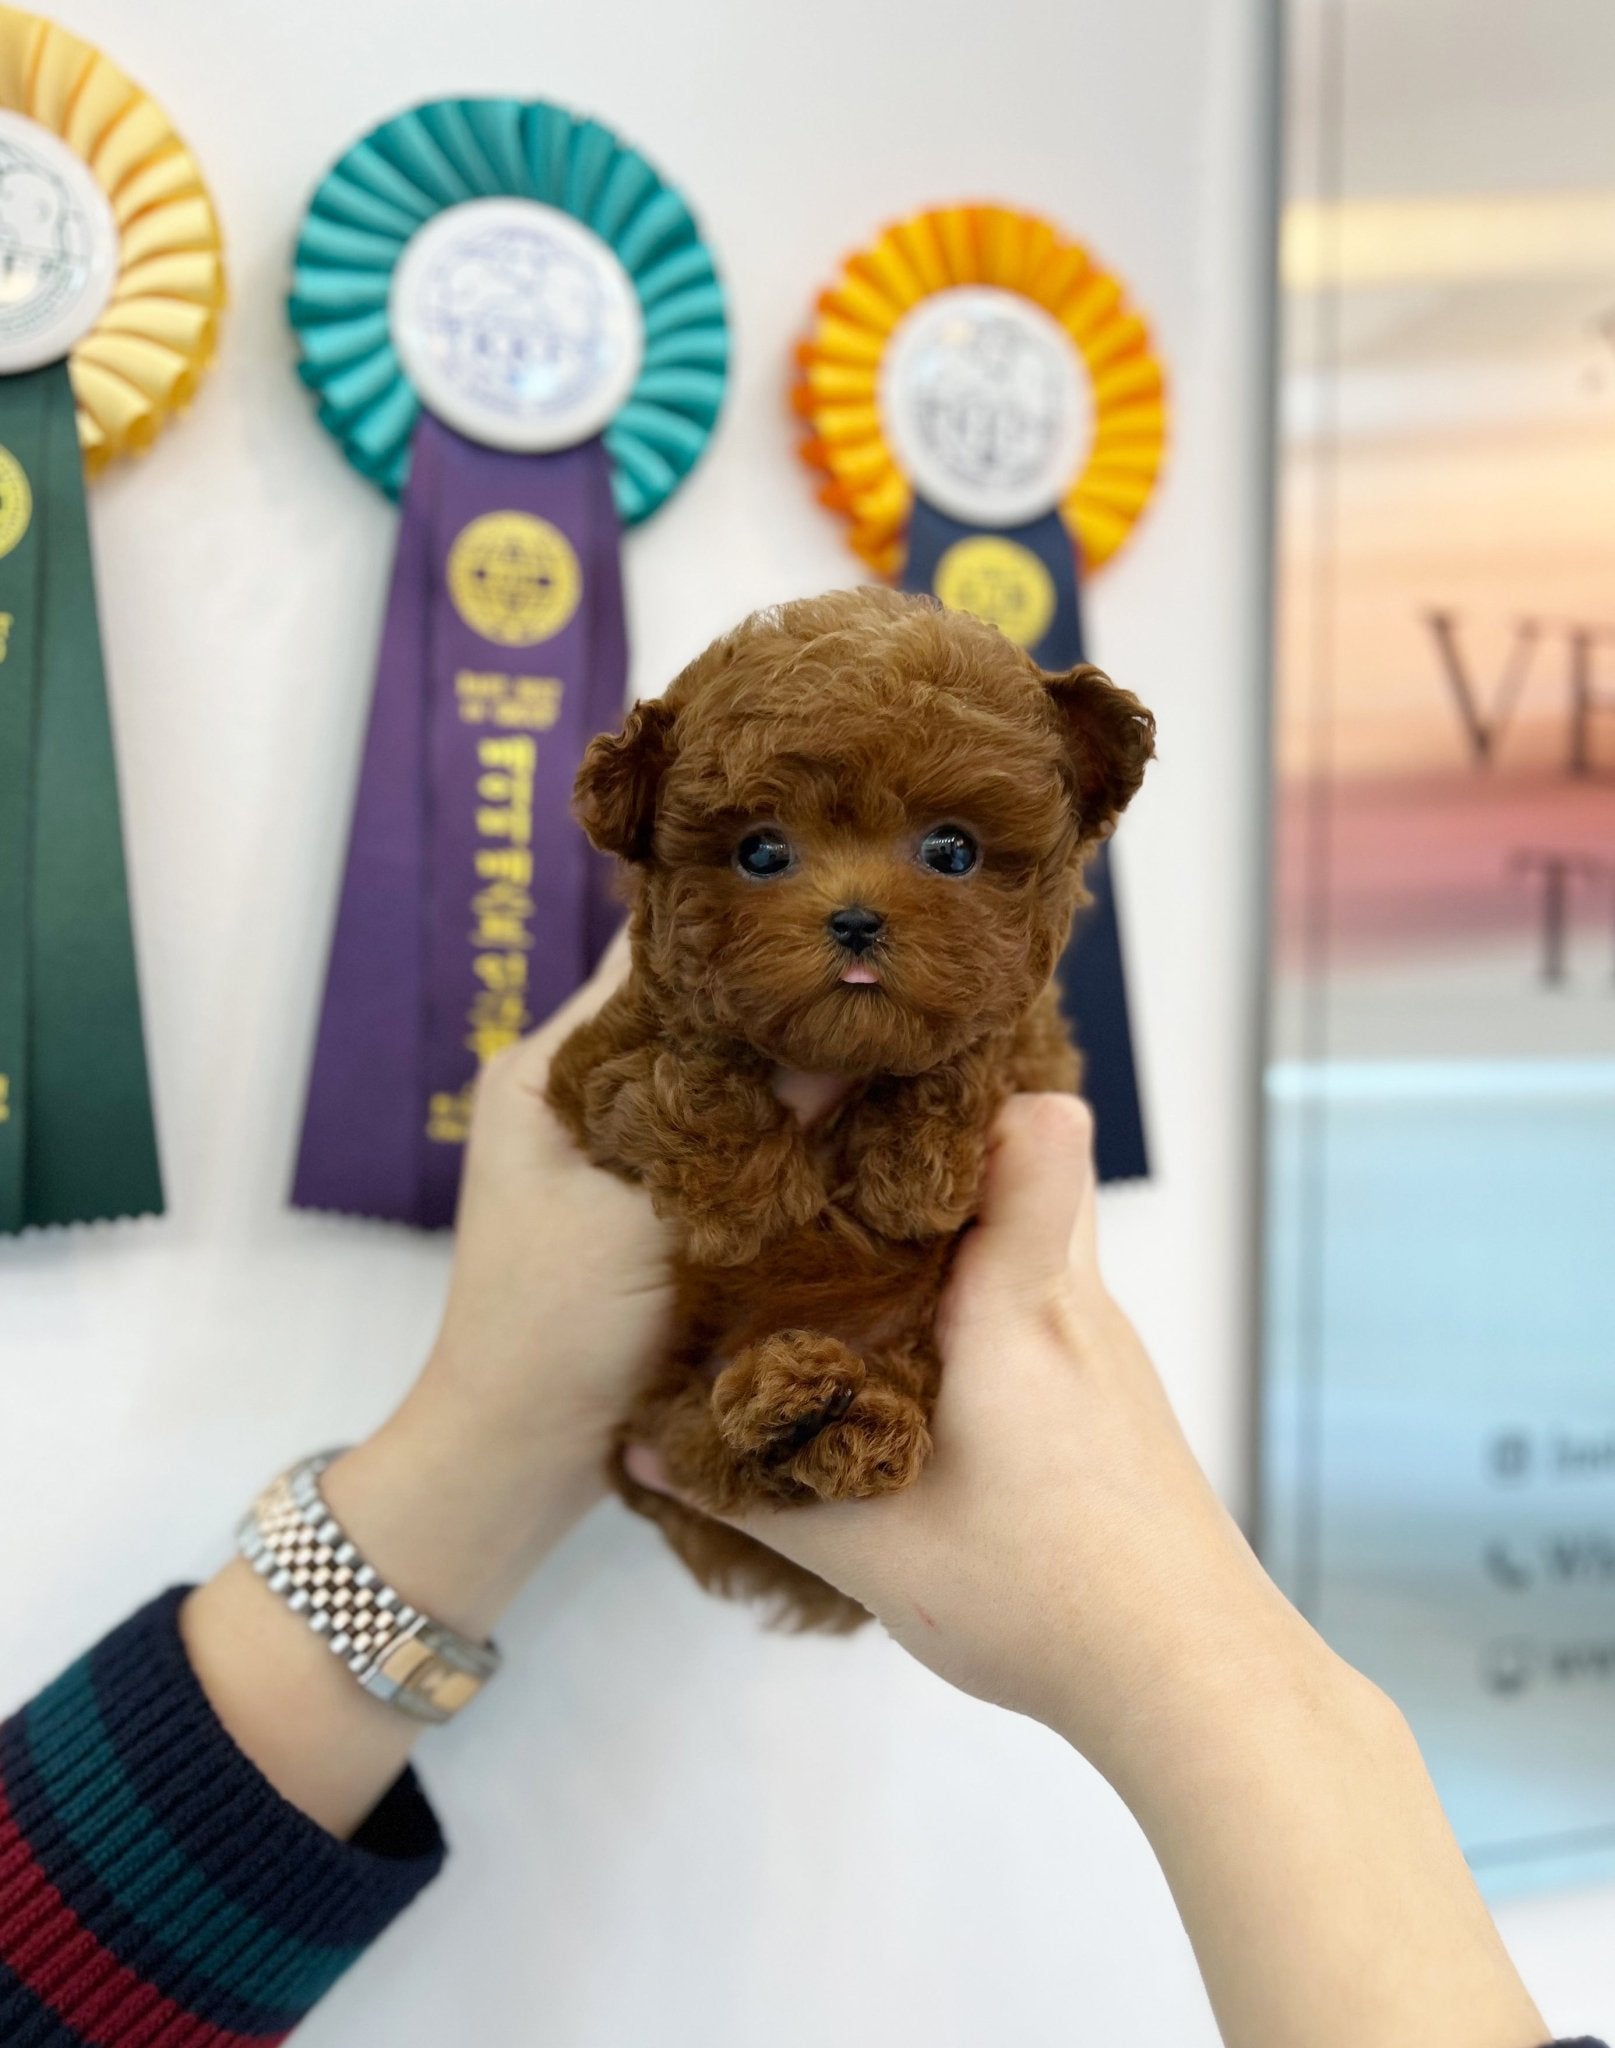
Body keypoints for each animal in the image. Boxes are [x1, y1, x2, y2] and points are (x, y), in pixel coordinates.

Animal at [548, 589, 1154, 1630]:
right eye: (759, 850)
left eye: (952, 849)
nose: (857, 919)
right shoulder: (591, 1062)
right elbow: (684, 1068)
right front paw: (745, 1198)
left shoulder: (1031, 1054)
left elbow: (963, 1058)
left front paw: (912, 1172)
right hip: (675, 1394)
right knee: (700, 1446)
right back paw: (788, 1413)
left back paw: (847, 1419)